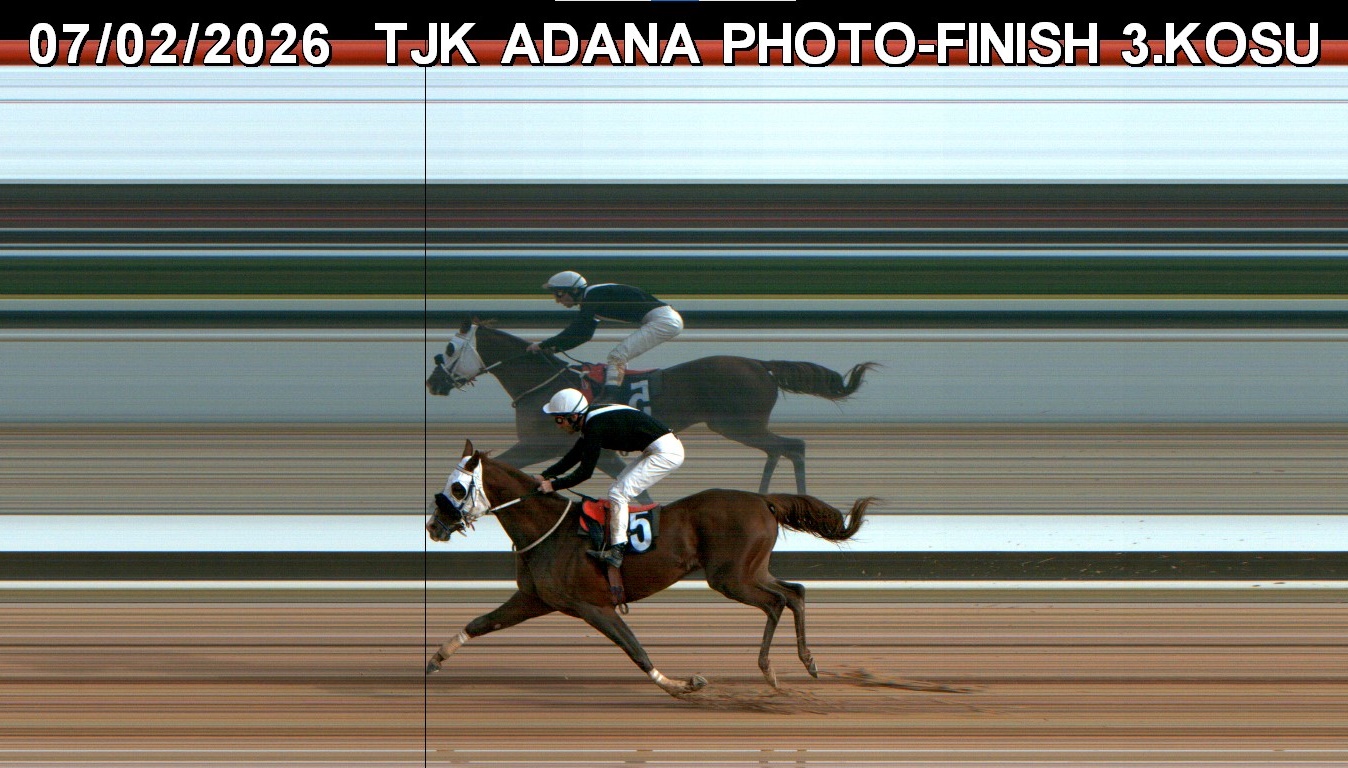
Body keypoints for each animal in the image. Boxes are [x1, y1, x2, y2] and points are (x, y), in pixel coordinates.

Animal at [425, 440, 875, 697]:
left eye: (457, 487)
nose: (433, 525)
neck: (548, 529)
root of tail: (762, 500)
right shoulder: (535, 598)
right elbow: (481, 622)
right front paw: (435, 658)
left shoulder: (592, 606)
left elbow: (635, 649)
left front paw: (682, 685)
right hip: (749, 571)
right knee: (795, 592)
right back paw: (801, 663)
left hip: (730, 577)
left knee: (778, 601)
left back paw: (774, 669)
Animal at [426, 318, 878, 494]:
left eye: (447, 348)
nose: (433, 383)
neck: (545, 387)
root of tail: (761, 365)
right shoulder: (597, 450)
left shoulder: (539, 444)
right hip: (740, 426)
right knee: (781, 449)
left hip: (737, 424)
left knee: (793, 446)